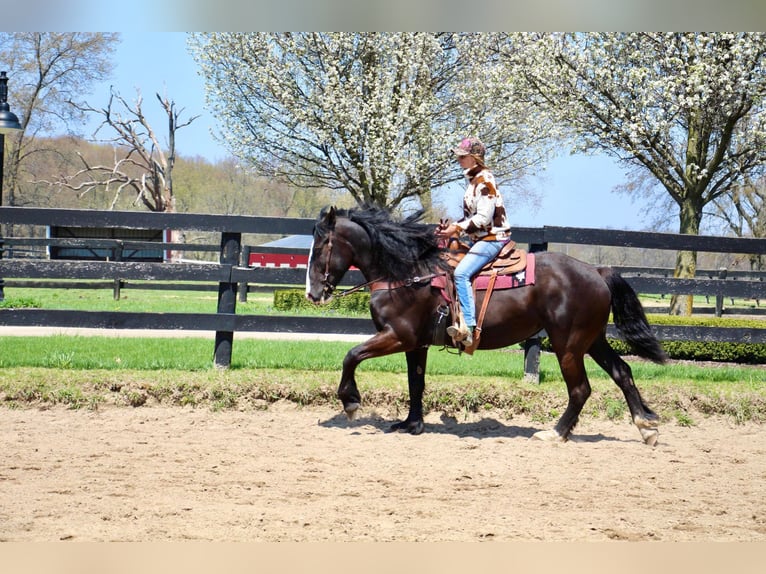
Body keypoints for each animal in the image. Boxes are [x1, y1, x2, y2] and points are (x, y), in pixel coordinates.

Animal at [308, 205, 668, 448]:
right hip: (591, 341)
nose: (313, 293)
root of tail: (597, 271)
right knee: (622, 372)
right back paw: (646, 426)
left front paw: (350, 401)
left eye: (323, 245)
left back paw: (555, 432)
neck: (407, 274)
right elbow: (415, 382)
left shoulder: (398, 336)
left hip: (568, 345)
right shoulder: (417, 344)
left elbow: (352, 355)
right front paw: (412, 424)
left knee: (581, 389)